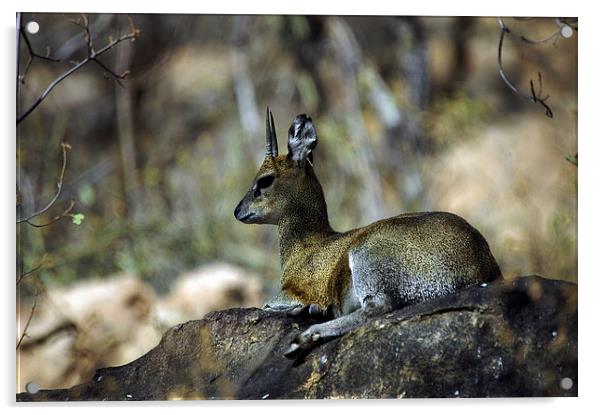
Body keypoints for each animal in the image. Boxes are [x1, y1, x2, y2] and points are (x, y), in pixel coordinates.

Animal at [232, 109, 500, 360]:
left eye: (265, 180)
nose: (238, 211)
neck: (307, 246)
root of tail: (480, 262)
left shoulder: (293, 292)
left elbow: (266, 304)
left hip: (365, 256)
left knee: (377, 306)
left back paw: (303, 337)